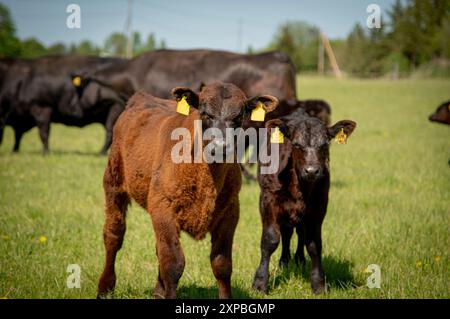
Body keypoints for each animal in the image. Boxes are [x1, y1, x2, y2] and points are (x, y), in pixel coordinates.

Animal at [253, 108, 356, 296]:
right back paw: (284, 261)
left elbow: (314, 244)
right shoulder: (268, 201)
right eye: (296, 144)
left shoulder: (319, 206)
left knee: (299, 232)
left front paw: (319, 284)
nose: (312, 171)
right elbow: (270, 240)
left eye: (324, 144)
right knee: (286, 233)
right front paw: (260, 283)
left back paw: (299, 260)